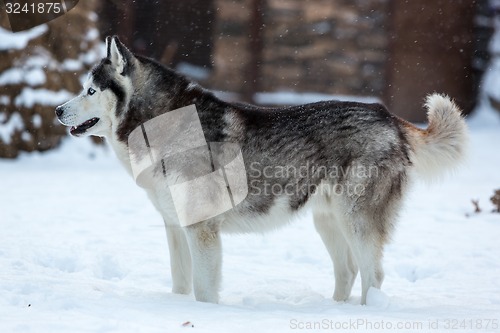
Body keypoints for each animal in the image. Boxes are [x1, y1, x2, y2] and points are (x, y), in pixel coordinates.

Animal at [55, 35, 468, 304]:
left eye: (91, 91)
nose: (57, 110)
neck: (159, 123)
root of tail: (389, 117)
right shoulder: (176, 227)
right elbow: (181, 285)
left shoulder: (202, 230)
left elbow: (204, 291)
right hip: (328, 221)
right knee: (348, 272)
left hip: (357, 222)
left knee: (373, 276)